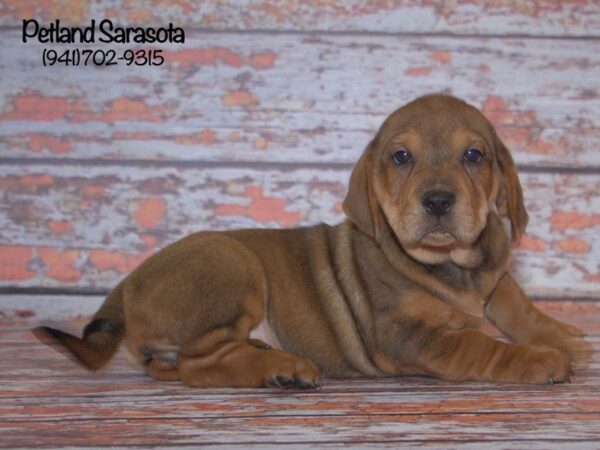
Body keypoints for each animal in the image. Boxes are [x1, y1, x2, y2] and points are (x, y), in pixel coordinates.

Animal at [34, 94, 590, 388]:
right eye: (401, 157)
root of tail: (126, 284)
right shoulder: (406, 334)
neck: (453, 266)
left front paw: (563, 336)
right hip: (233, 265)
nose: (436, 201)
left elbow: (519, 307)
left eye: (474, 155)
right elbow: (478, 343)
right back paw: (281, 368)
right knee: (197, 365)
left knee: (176, 366)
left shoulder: (496, 279)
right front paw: (537, 358)